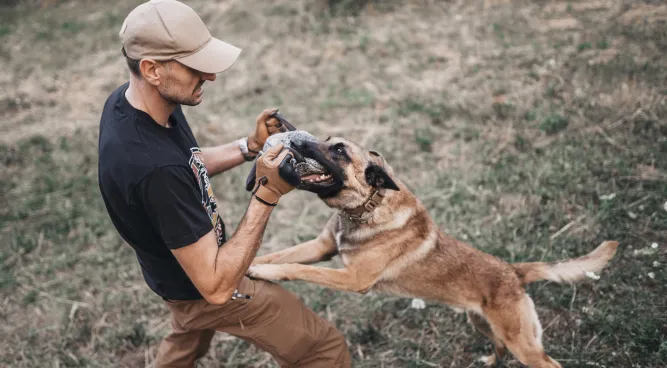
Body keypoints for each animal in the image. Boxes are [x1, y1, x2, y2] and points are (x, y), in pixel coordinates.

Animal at [248, 137, 620, 366]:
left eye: (338, 150)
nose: (295, 142)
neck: (366, 208)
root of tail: (513, 272)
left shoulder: (352, 278)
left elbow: (298, 268)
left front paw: (262, 271)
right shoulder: (322, 247)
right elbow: (280, 255)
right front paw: (249, 264)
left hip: (523, 343)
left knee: (546, 361)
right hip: (482, 323)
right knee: (498, 347)